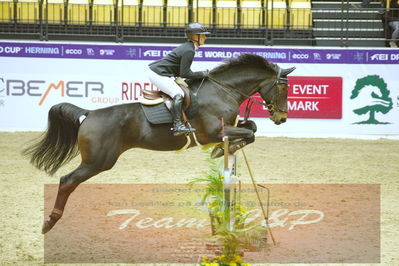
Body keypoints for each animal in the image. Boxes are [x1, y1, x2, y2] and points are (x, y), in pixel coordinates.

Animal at [22, 53, 296, 234]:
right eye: (283, 89)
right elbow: (248, 134)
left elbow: (252, 129)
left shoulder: (229, 127)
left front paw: (225, 150)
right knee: (67, 181)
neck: (223, 90)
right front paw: (220, 151)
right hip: (98, 161)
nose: (282, 118)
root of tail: (88, 114)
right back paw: (50, 222)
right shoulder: (213, 132)